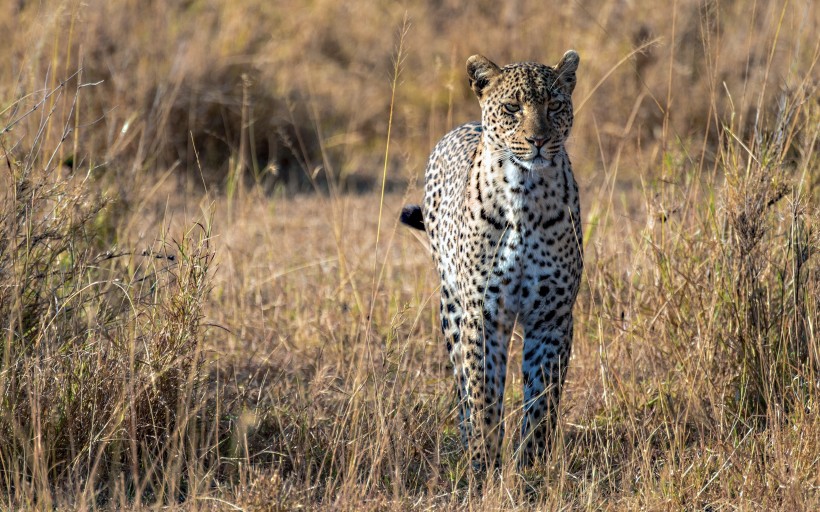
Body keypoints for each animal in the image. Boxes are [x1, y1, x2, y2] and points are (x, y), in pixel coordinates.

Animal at [402, 50, 584, 470]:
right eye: (512, 108)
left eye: (554, 105)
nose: (539, 140)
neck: (525, 193)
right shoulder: (484, 313)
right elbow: (484, 391)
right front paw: (484, 463)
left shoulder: (552, 315)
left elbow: (543, 399)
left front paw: (531, 465)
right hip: (452, 308)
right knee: (462, 383)